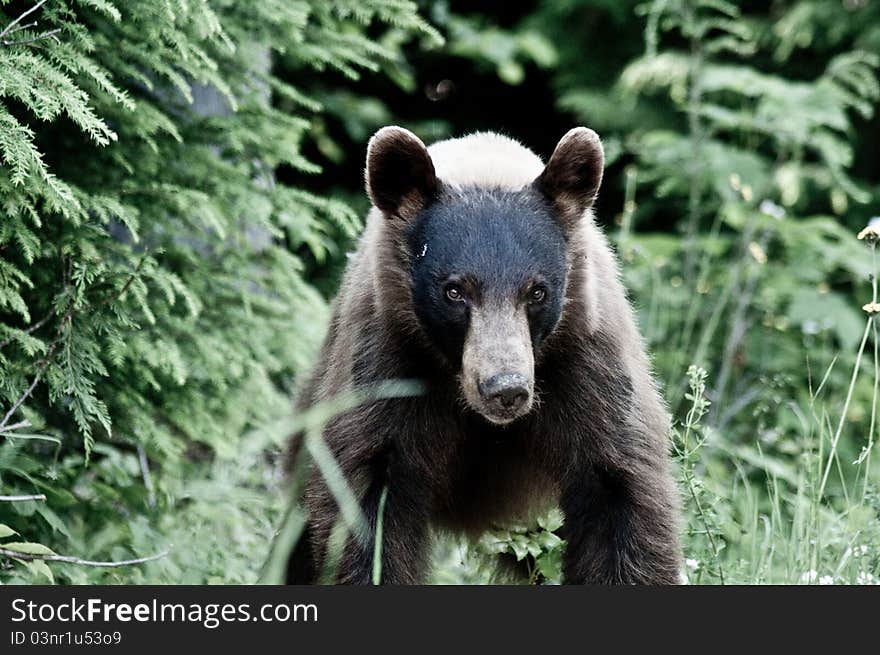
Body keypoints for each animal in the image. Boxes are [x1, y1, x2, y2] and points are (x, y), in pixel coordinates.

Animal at [288, 127, 680, 584]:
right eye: (454, 290)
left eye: (537, 291)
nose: (505, 389)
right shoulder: (386, 361)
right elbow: (365, 506)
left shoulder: (587, 362)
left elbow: (619, 493)